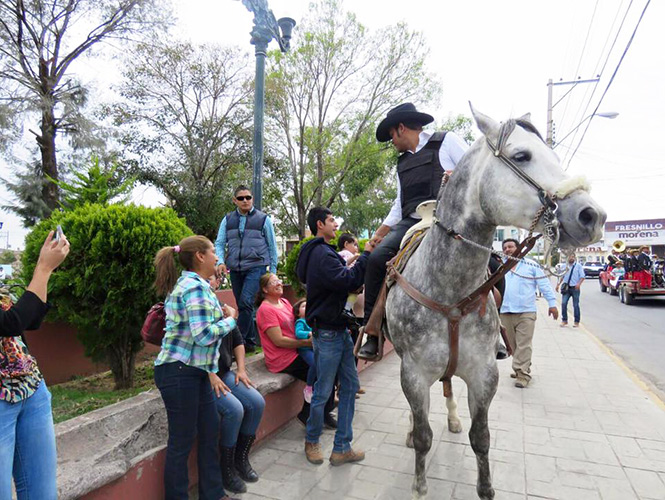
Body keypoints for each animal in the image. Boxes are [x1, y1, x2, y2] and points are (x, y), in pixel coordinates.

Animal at [384, 104, 608, 496]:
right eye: (521, 156)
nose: (592, 216)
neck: (450, 290)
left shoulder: (483, 373)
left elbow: (482, 437)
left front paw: (486, 488)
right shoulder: (412, 372)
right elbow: (425, 435)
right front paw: (419, 485)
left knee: (448, 386)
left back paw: (453, 418)